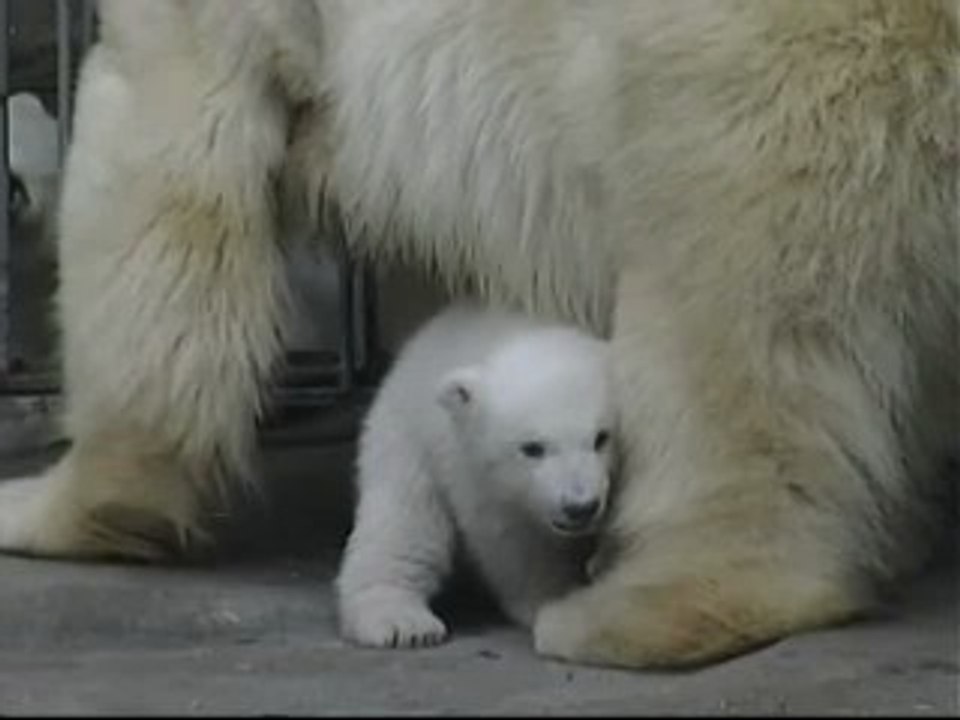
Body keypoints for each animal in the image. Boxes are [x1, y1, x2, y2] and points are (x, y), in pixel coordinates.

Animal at [336, 303, 615, 648]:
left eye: (601, 438)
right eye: (532, 448)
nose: (580, 507)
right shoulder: (471, 473)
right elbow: (514, 543)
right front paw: (551, 599)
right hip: (406, 442)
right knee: (403, 522)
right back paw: (400, 620)